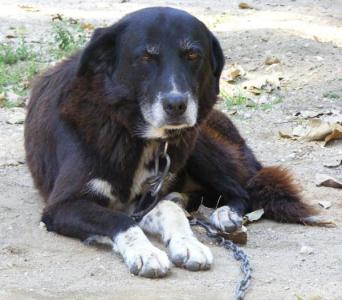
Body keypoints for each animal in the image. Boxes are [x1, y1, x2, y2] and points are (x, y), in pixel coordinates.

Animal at [25, 7, 316, 278]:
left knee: (242, 192)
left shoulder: (144, 198)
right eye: (146, 57)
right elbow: (119, 219)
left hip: (198, 141)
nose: (176, 104)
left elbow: (168, 211)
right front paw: (146, 252)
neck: (133, 133)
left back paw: (224, 214)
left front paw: (189, 244)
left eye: (192, 55)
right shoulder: (62, 205)